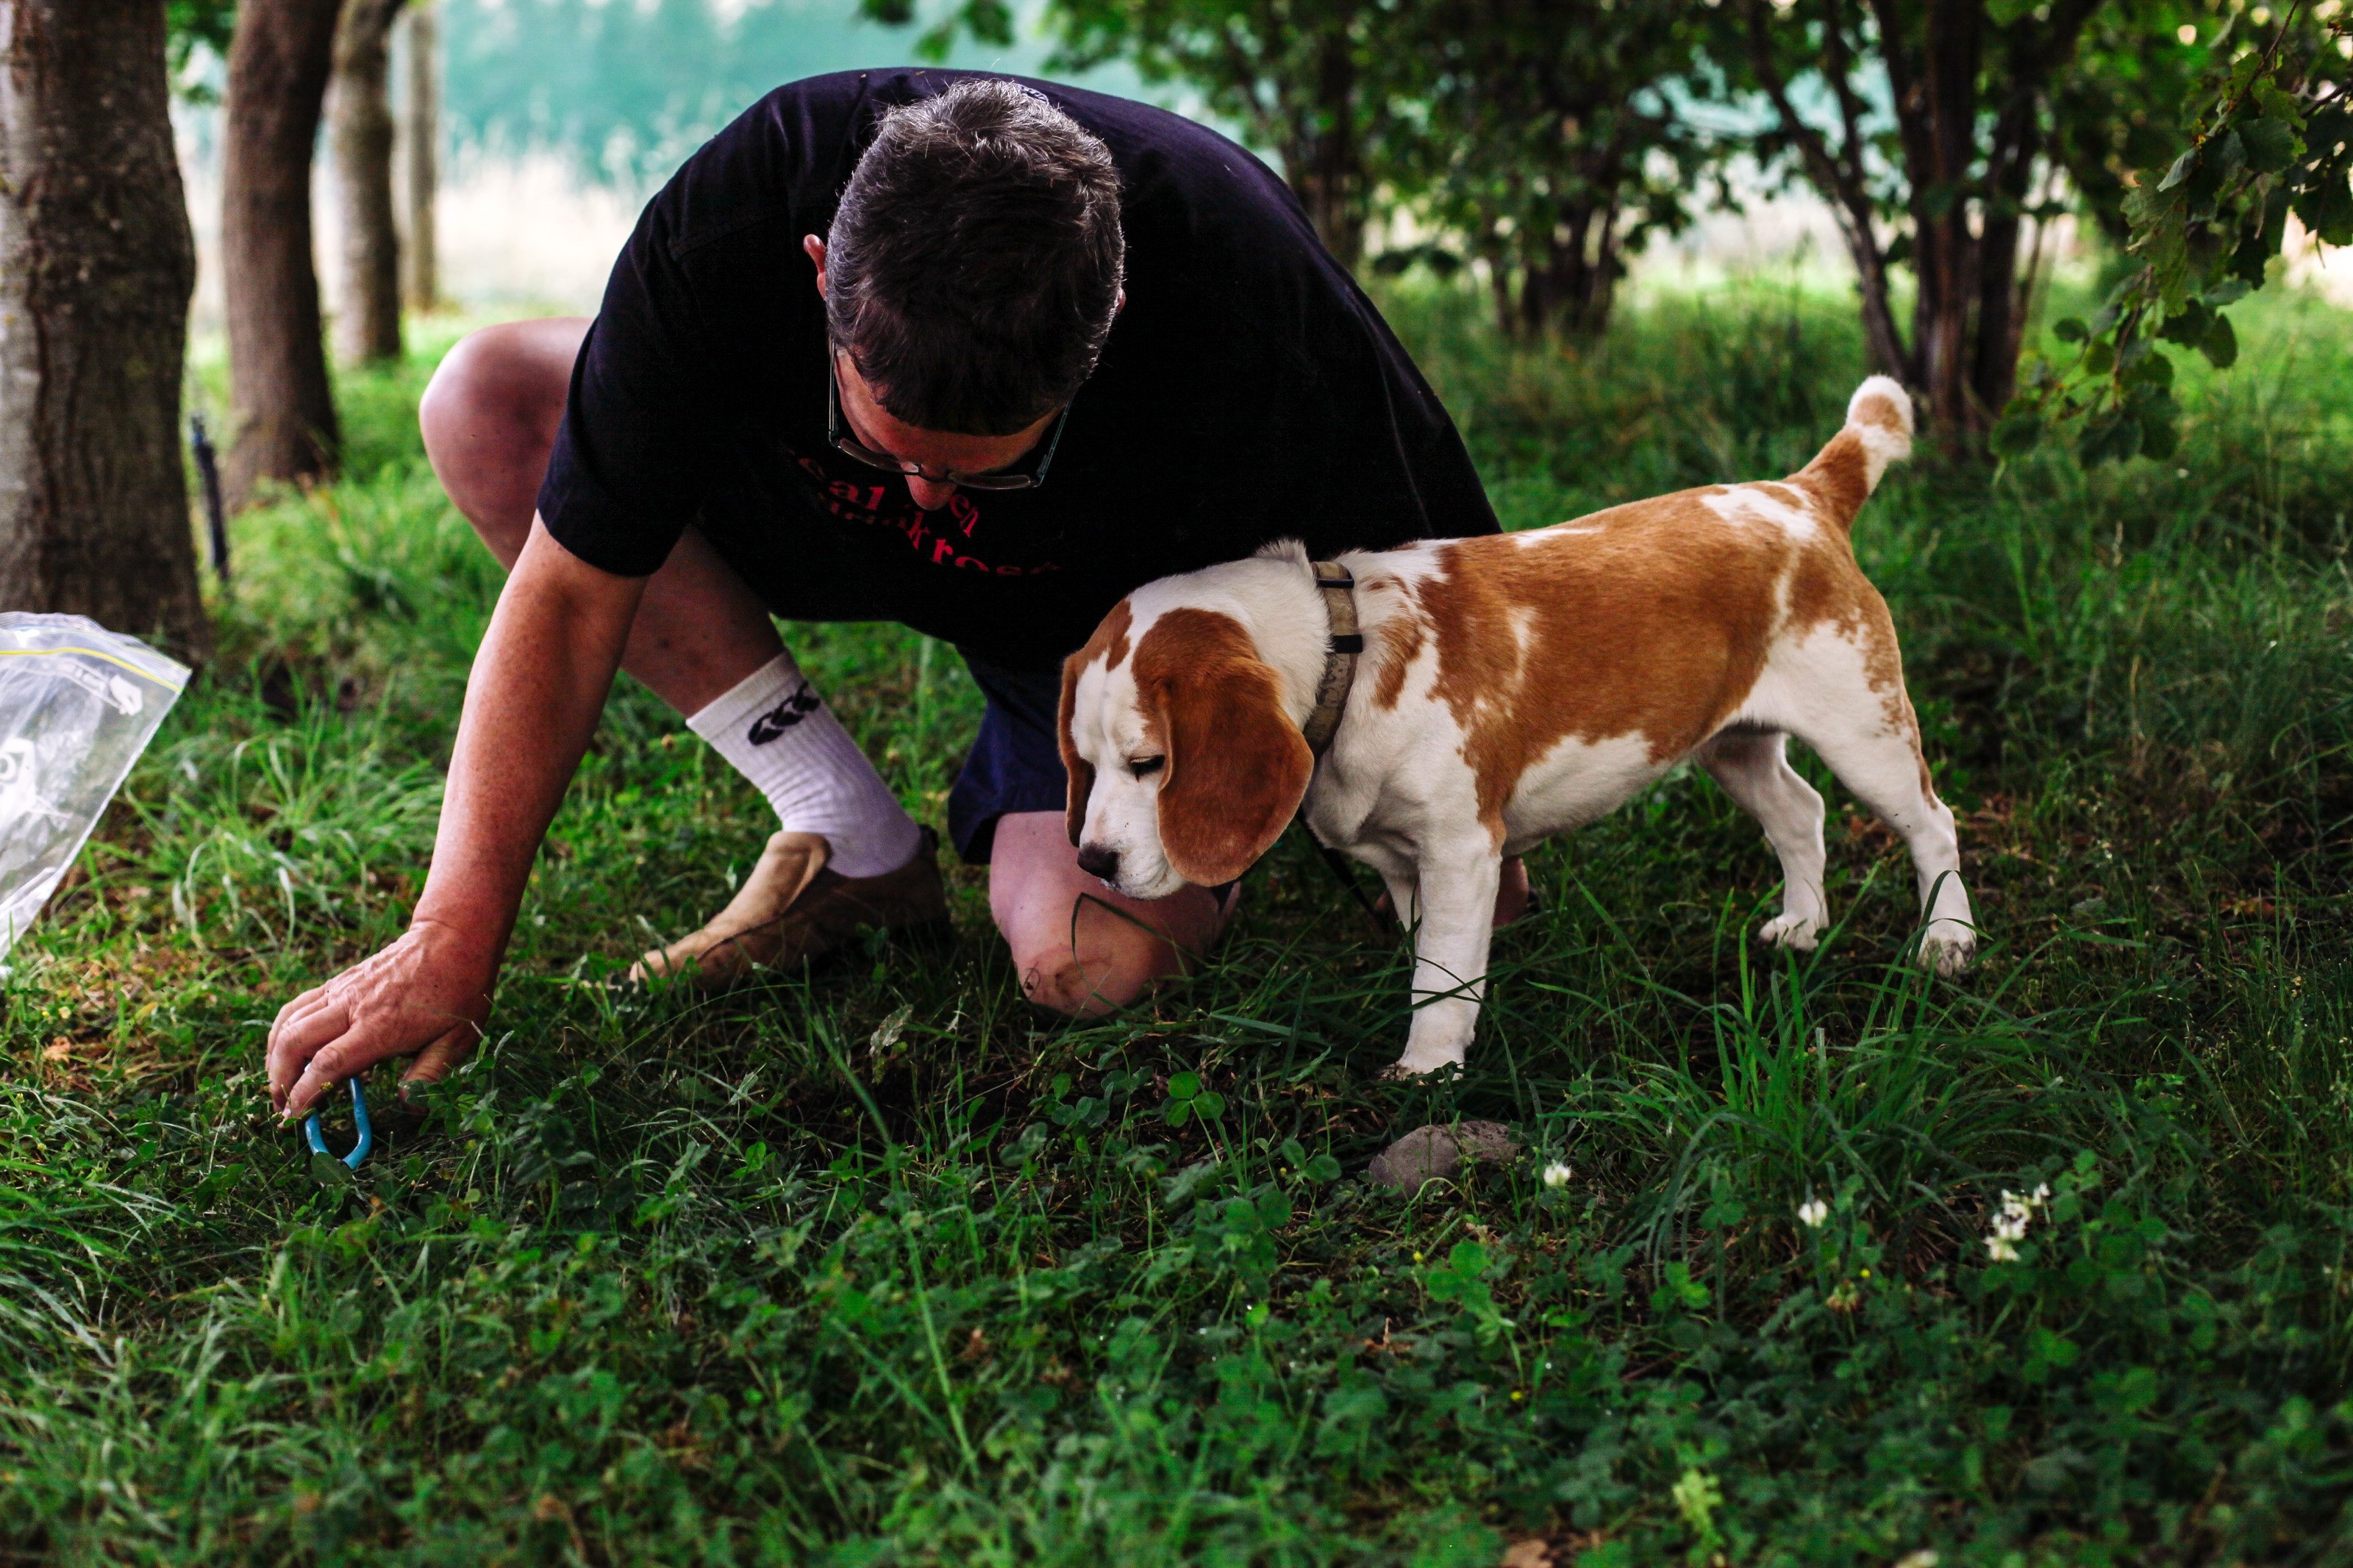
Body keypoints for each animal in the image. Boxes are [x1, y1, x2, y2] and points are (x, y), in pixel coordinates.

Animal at [1063, 376, 1967, 1081]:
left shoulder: (1461, 850)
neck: (1344, 646)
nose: (1092, 862)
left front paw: (1426, 1069)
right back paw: (1805, 926)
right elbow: (1429, 954)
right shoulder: (1402, 866)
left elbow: (1439, 976)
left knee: (1932, 824)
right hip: (1731, 744)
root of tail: (1801, 494)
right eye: (1086, 765)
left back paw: (1946, 941)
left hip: (1865, 735)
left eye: (1150, 763)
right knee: (1798, 814)